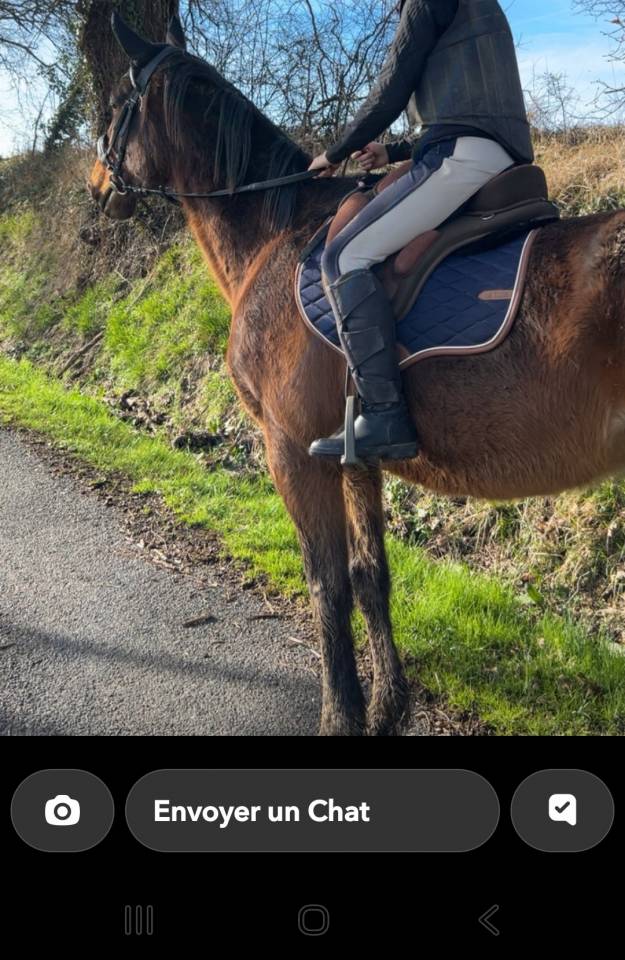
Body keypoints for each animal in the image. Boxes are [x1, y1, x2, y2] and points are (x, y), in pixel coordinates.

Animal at [89, 15, 625, 736]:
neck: (274, 232)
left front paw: (340, 717)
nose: (95, 187)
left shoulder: (290, 451)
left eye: (118, 105)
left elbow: (328, 585)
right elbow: (372, 576)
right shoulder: (352, 456)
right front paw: (387, 709)